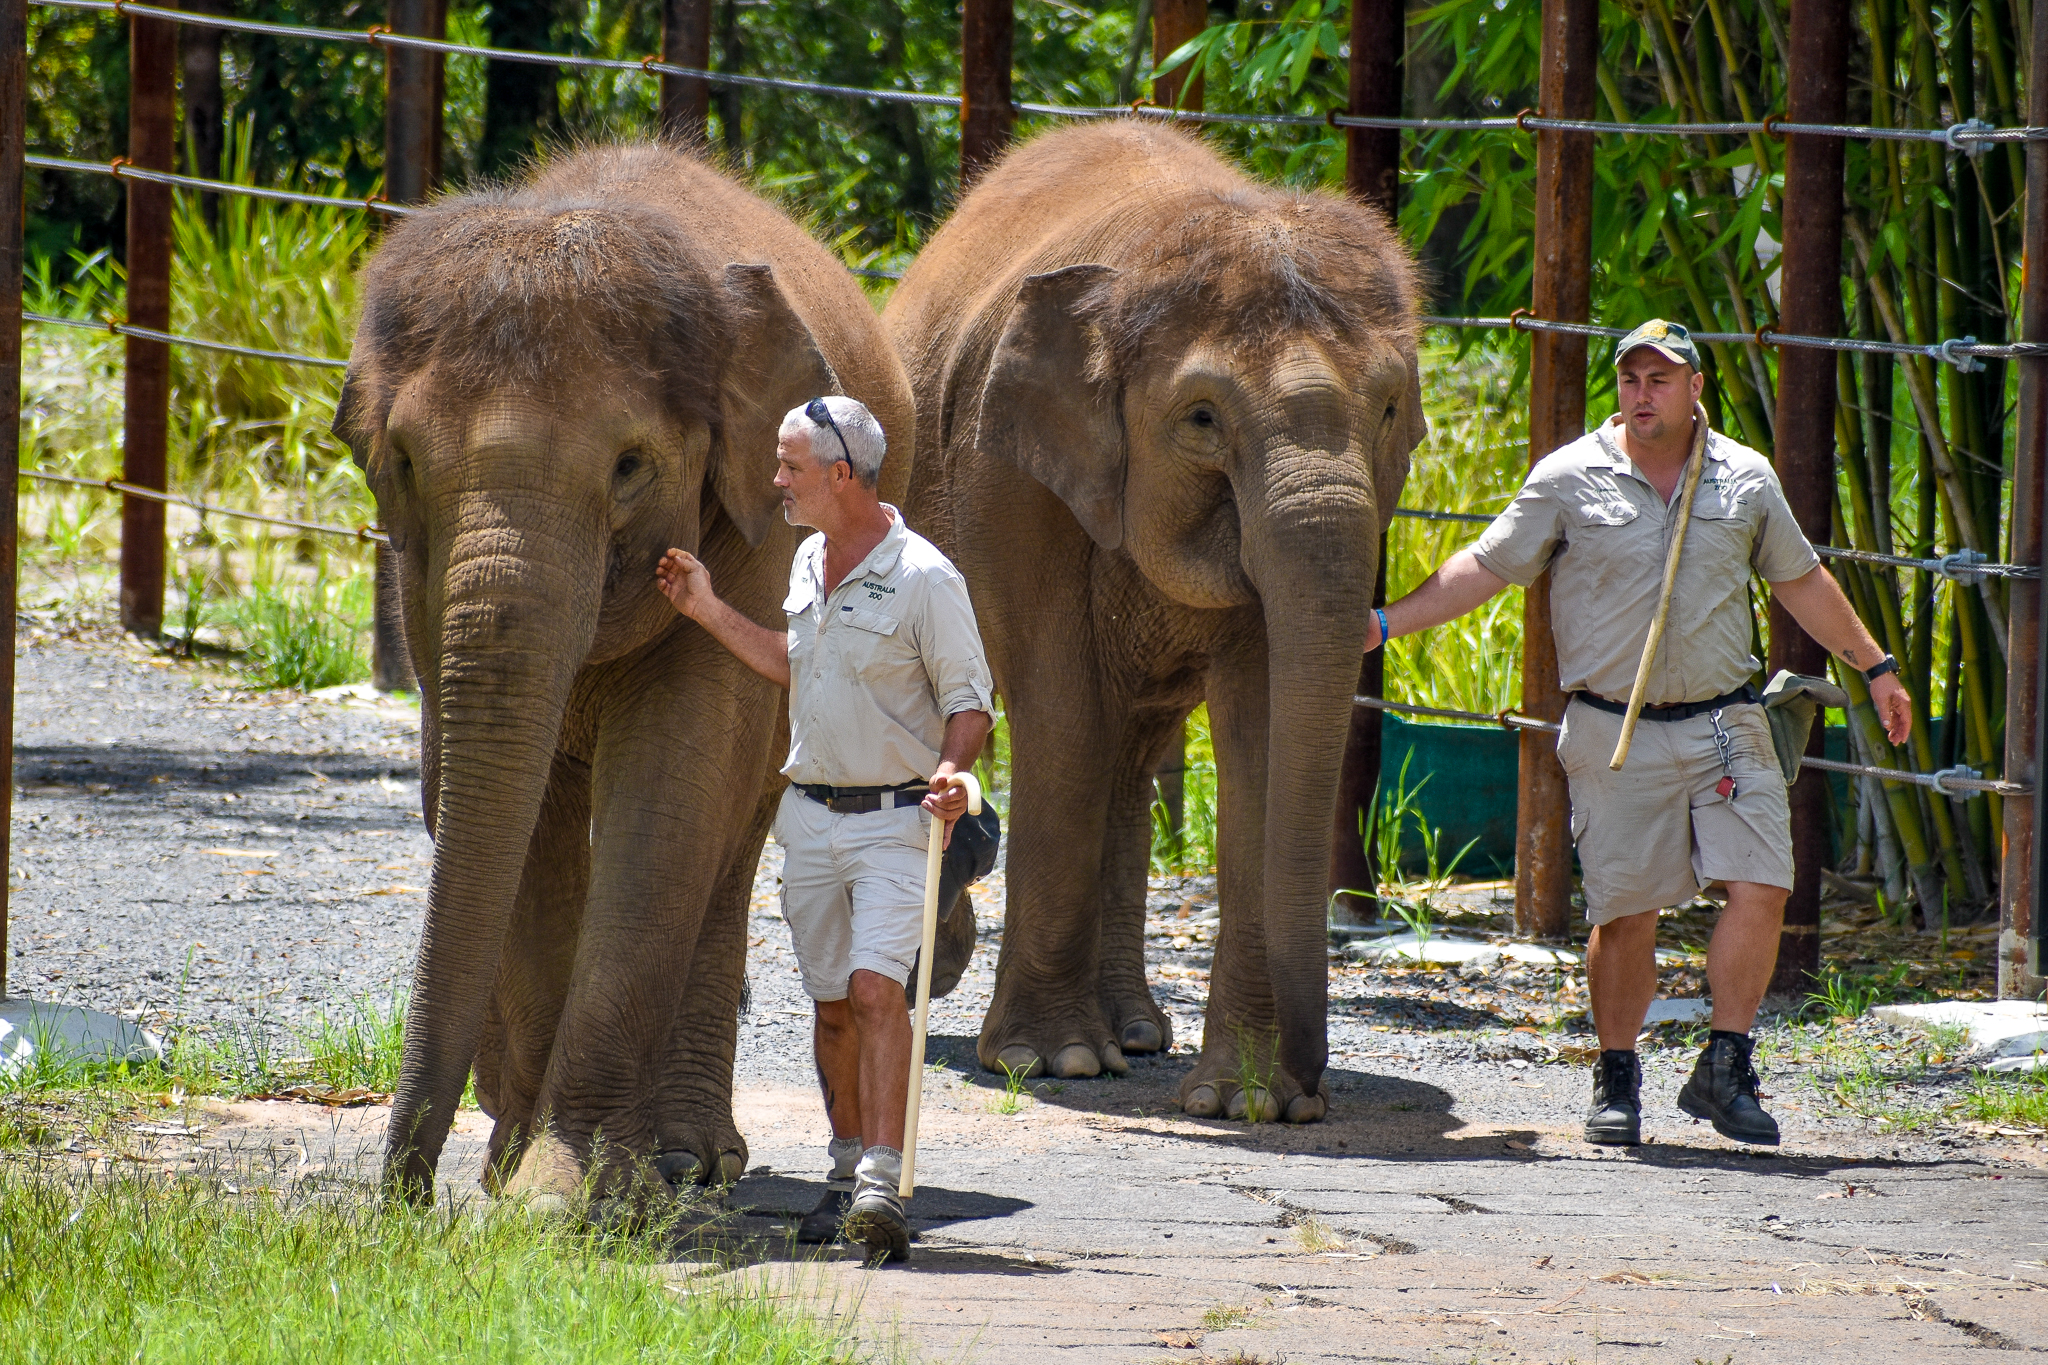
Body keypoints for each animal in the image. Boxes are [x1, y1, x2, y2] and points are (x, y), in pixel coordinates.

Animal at [332, 143, 915, 1205]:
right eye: (401, 460)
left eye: (631, 466)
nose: (401, 1197)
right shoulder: (415, 575)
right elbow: (496, 789)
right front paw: (515, 1171)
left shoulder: (752, 532)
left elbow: (671, 785)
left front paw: (564, 1195)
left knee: (732, 832)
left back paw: (689, 1156)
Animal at [883, 122, 1424, 1123]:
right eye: (1202, 418)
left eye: (1389, 409)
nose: (1315, 1087)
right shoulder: (1008, 471)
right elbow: (1060, 711)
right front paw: (1049, 1061)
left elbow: (1263, 732)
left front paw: (1247, 1103)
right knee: (1087, 735)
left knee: (1130, 755)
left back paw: (1136, 1033)